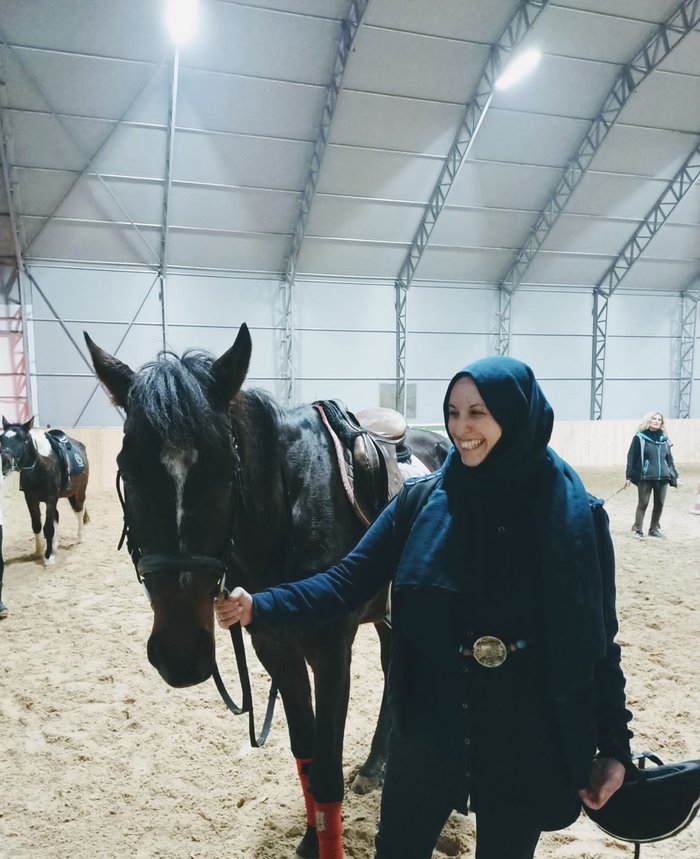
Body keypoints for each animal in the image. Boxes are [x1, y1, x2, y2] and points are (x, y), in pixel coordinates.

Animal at [0, 416, 90, 564]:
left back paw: (80, 538)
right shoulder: (30, 498)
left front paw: (48, 558)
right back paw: (54, 546)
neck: (41, 465)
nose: (5, 461)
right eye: (1, 438)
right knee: (57, 516)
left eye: (23, 439)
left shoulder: (51, 498)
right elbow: (37, 524)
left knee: (79, 512)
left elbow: (48, 527)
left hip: (79, 491)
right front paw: (39, 551)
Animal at [85, 324, 448, 859]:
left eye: (224, 470)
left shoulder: (331, 653)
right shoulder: (276, 650)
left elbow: (326, 772)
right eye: (127, 469)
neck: (290, 508)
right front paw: (310, 840)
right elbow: (306, 756)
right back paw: (374, 766)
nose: (180, 654)